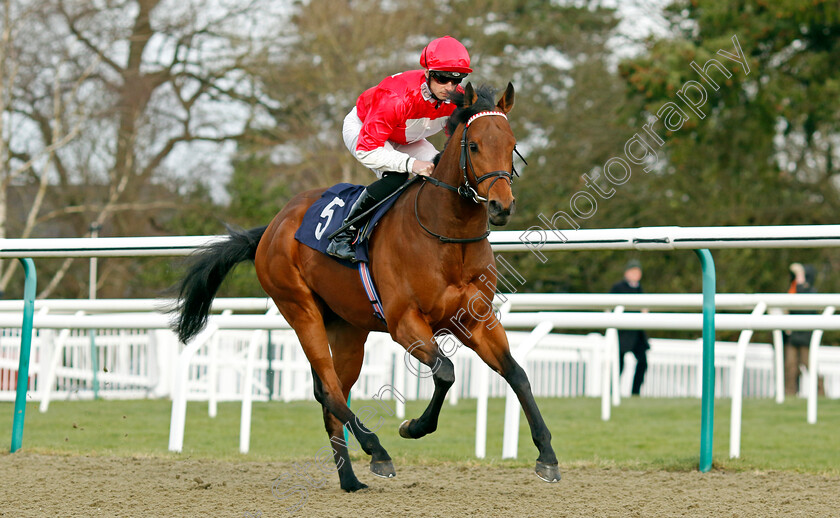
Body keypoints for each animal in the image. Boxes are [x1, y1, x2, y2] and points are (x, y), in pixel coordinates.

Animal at [171, 83, 560, 494]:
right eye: (474, 146)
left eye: (512, 144)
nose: (502, 206)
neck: (448, 237)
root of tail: (272, 227)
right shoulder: (405, 324)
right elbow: (446, 372)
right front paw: (412, 427)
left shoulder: (478, 321)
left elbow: (517, 374)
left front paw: (547, 456)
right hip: (300, 308)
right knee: (328, 390)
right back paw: (377, 450)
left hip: (348, 328)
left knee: (332, 395)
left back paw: (350, 479)